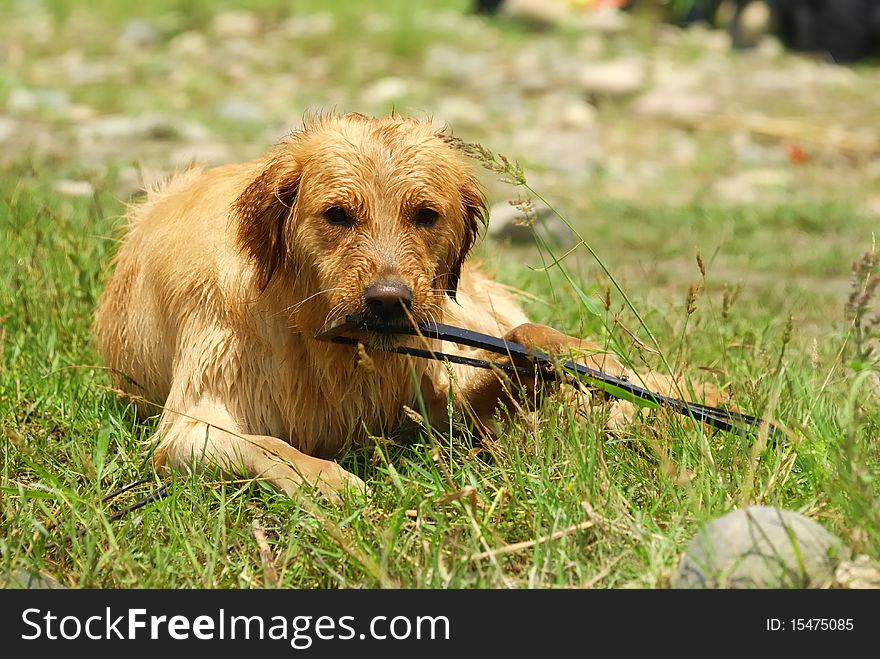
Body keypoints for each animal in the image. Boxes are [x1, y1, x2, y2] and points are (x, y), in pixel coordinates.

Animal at [93, 112, 672, 500]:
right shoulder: (188, 426)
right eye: (337, 214)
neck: (313, 331)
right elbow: (269, 445)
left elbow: (519, 344)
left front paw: (572, 355)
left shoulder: (431, 396)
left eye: (425, 214)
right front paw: (327, 478)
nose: (390, 302)